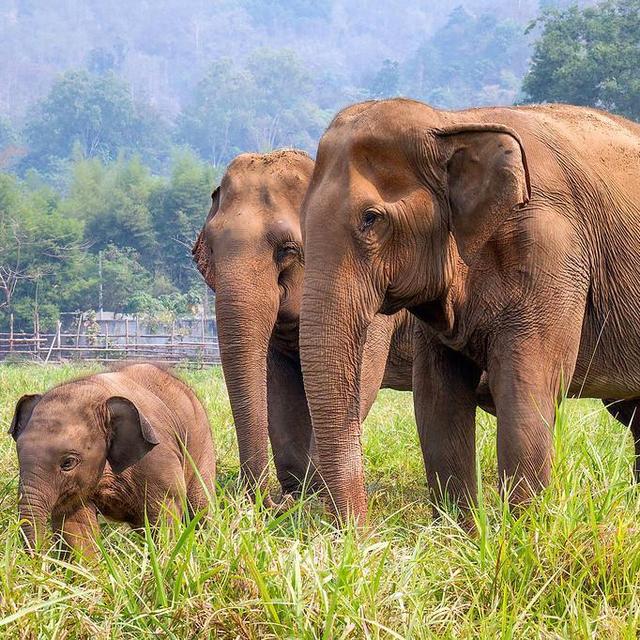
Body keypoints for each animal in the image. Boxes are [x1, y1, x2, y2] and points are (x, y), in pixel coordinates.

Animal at [9, 363, 216, 556]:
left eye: (68, 462)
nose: (41, 559)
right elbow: (76, 525)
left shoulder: (158, 457)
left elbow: (164, 511)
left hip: (202, 444)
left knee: (199, 507)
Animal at [192, 149, 414, 504]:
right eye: (210, 248)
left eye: (287, 250)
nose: (266, 501)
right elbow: (279, 384)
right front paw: (298, 497)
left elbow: (358, 378)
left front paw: (313, 497)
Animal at [299, 98, 640, 523]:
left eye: (370, 219)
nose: (361, 532)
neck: (453, 123)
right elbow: (437, 401)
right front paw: (462, 533)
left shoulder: (553, 250)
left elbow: (526, 392)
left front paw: (522, 532)